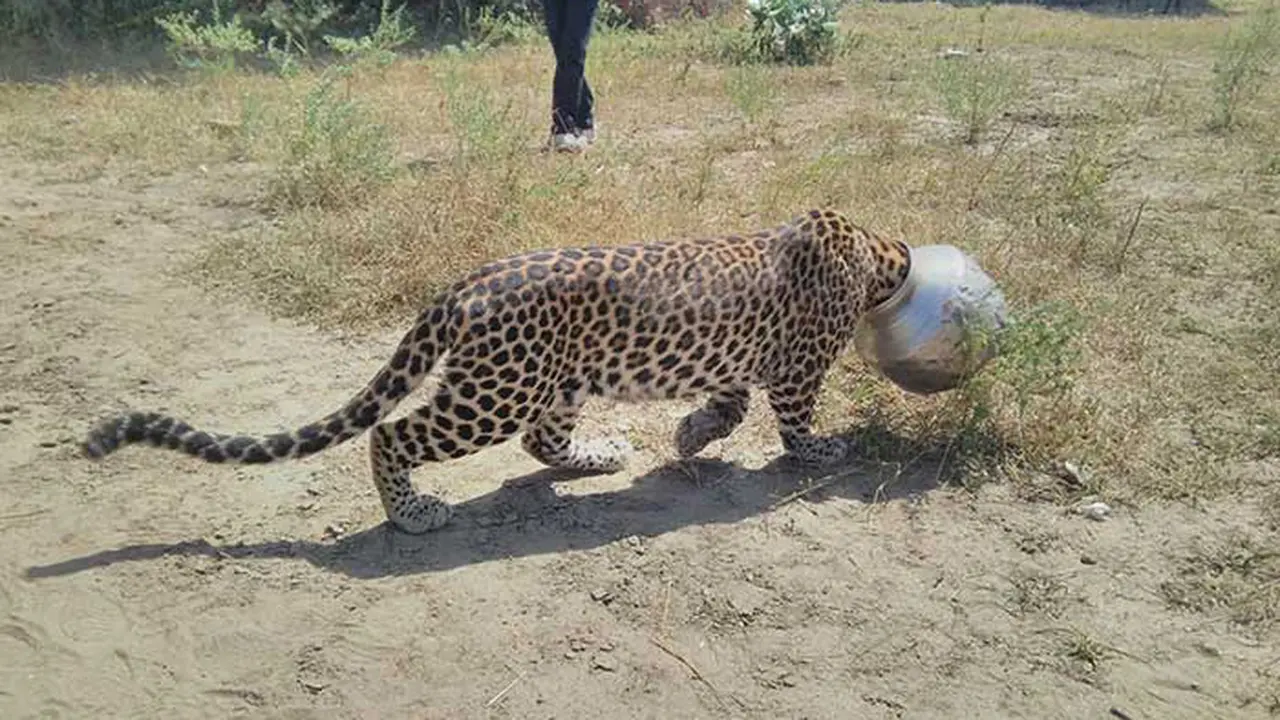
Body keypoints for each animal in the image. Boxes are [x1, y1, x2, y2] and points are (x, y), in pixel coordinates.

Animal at [81, 208, 912, 535]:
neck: (874, 250)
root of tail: (463, 284)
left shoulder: (741, 360)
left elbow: (729, 403)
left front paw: (687, 434)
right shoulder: (798, 369)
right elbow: (794, 421)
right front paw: (825, 449)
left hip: (556, 381)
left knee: (541, 443)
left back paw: (602, 455)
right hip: (494, 392)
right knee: (391, 433)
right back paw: (411, 514)